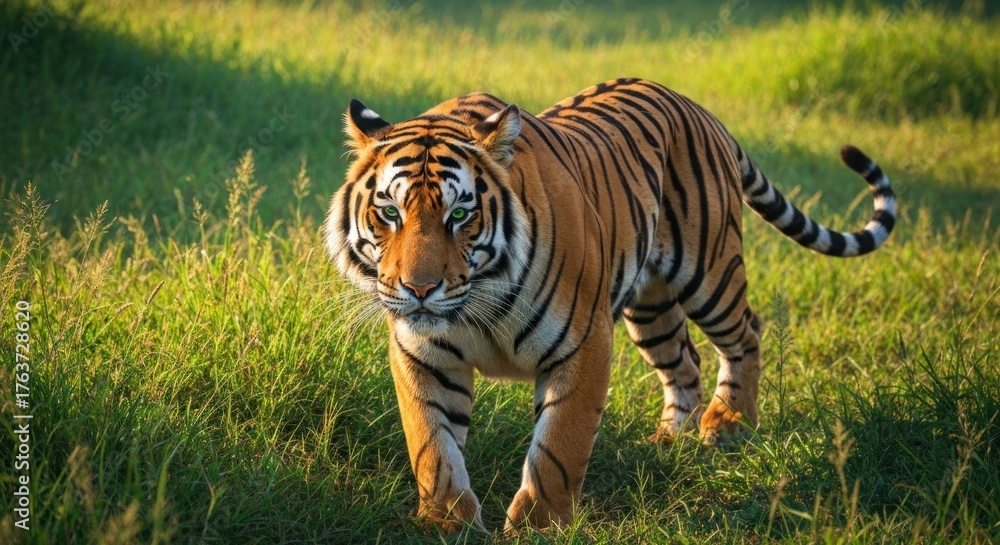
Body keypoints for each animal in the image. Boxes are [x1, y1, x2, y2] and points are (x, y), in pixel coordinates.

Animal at [323, 77, 896, 532]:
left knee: (745, 332)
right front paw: (446, 522)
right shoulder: (424, 353)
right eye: (389, 212)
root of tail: (693, 104)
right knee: (684, 363)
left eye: (460, 214)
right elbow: (432, 444)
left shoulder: (583, 341)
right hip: (651, 305)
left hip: (709, 271)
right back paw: (667, 442)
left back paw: (729, 423)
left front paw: (540, 526)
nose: (418, 289)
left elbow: (559, 445)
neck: (478, 298)